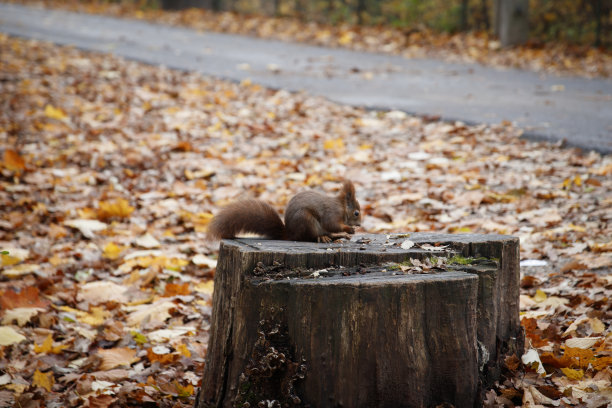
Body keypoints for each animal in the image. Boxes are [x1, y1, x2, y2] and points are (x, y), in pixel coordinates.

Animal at [208, 179, 360, 242]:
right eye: (356, 213)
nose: (359, 225)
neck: (342, 207)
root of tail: (290, 234)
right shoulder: (332, 213)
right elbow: (331, 224)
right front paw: (348, 228)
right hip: (307, 221)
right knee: (311, 237)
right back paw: (324, 237)